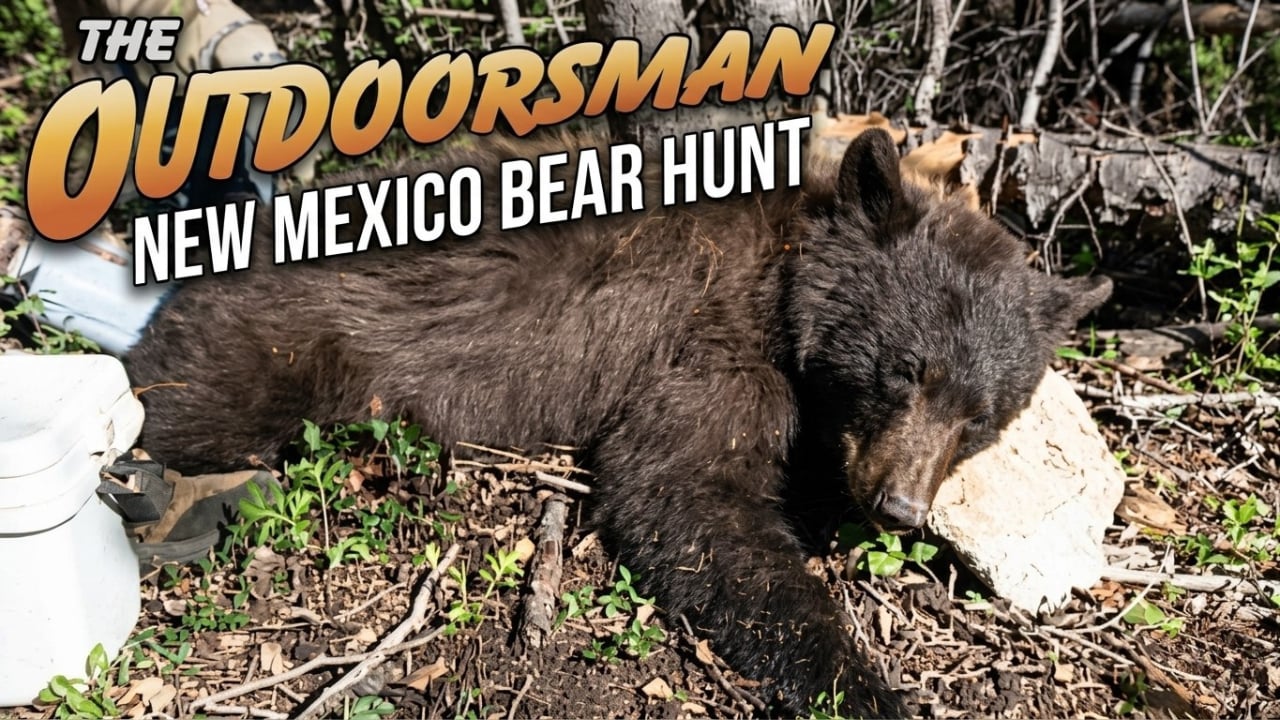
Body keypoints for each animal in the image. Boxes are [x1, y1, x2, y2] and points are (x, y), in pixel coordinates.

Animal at [124, 127, 1111, 716]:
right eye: (906, 370)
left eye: (982, 415)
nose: (899, 506)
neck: (789, 272)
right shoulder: (708, 342)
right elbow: (684, 492)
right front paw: (860, 683)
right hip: (271, 348)